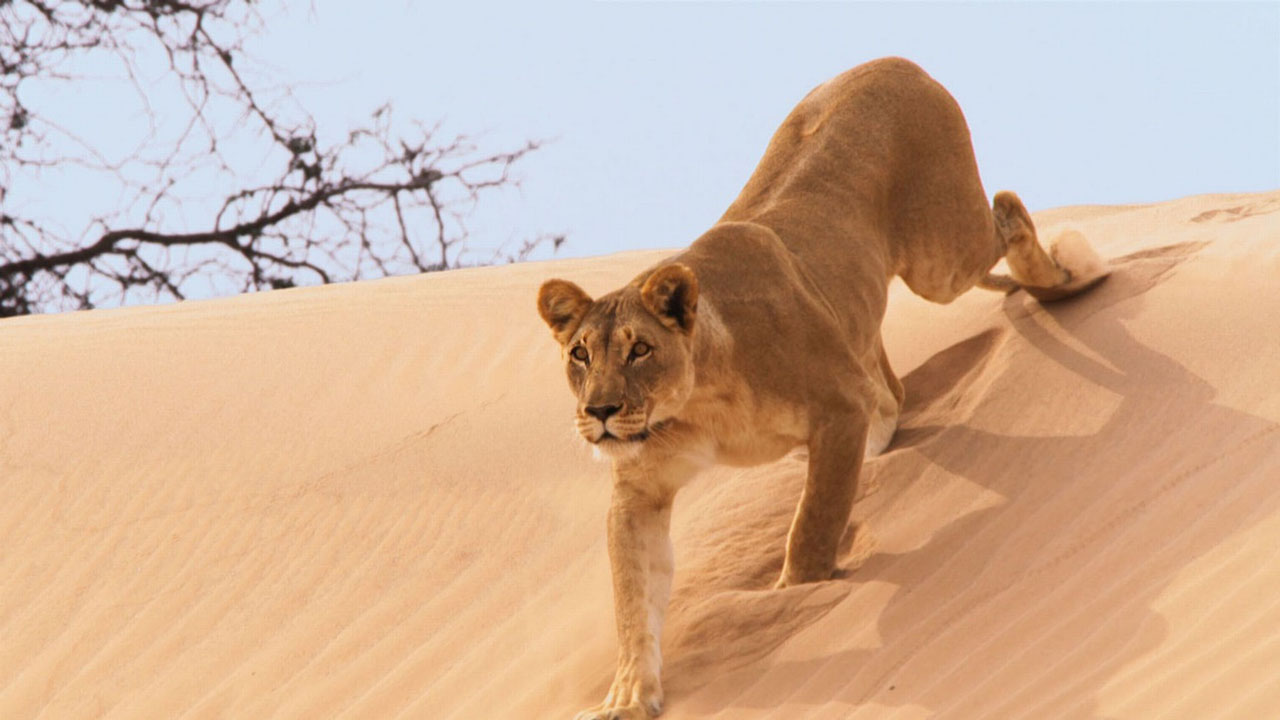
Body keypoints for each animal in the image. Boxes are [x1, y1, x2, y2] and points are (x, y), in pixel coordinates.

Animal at [536, 57, 1107, 720]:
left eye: (640, 350)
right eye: (579, 354)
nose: (599, 411)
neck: (699, 403)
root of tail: (896, 61)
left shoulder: (836, 409)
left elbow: (813, 522)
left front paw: (790, 598)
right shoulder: (640, 490)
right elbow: (633, 597)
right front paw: (630, 693)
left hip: (939, 258)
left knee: (1006, 210)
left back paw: (1069, 274)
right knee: (890, 385)